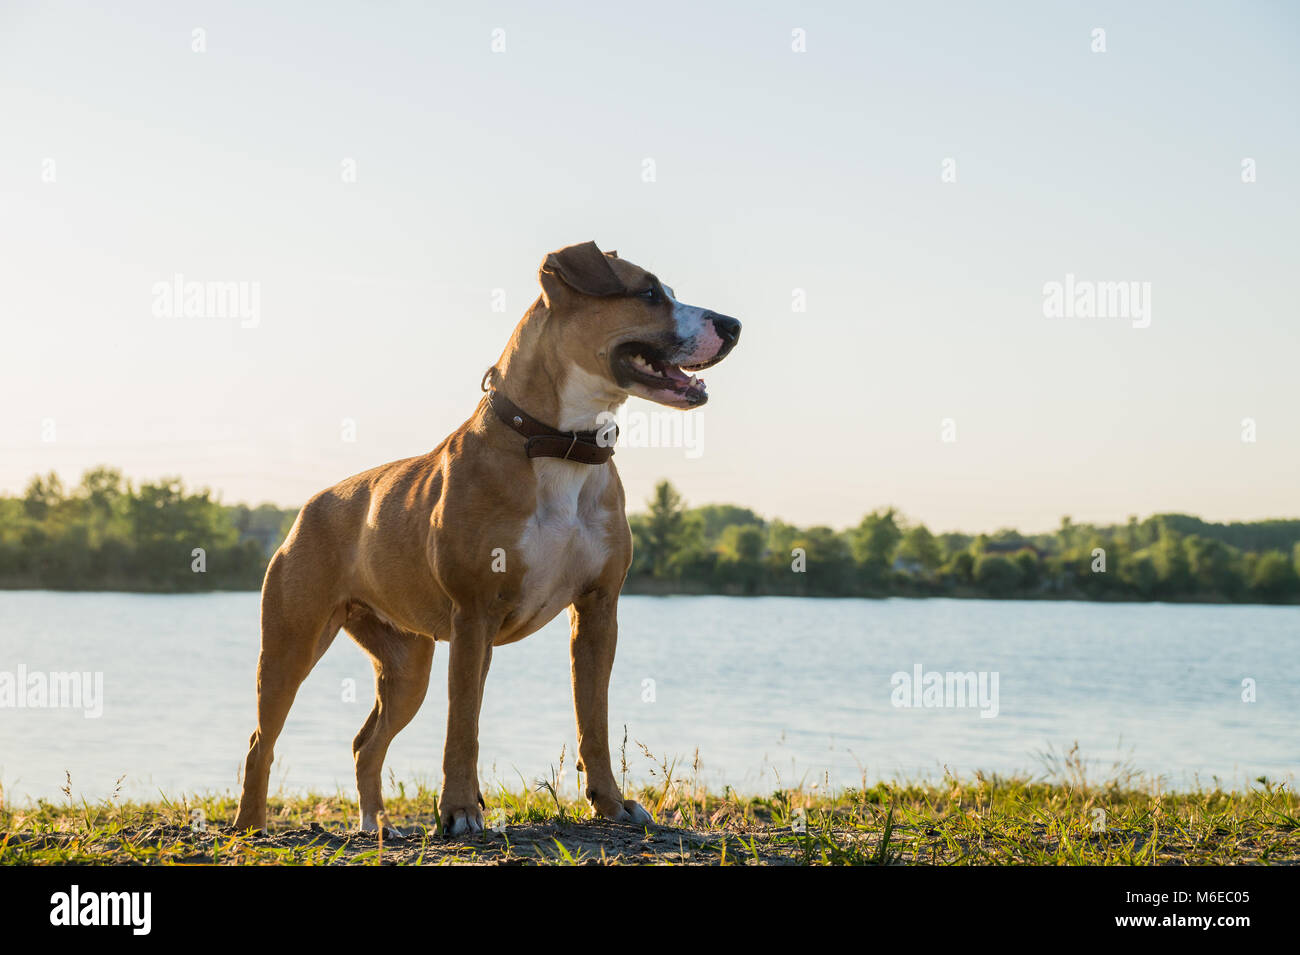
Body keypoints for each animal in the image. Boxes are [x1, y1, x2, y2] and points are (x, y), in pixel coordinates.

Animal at [235, 240, 743, 836]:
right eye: (646, 293)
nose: (733, 325)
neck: (559, 444)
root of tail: (310, 505)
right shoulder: (473, 614)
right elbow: (463, 727)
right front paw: (458, 810)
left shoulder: (598, 611)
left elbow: (592, 719)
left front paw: (611, 803)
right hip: (292, 642)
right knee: (261, 740)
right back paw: (251, 825)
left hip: (408, 664)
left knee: (367, 743)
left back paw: (377, 827)